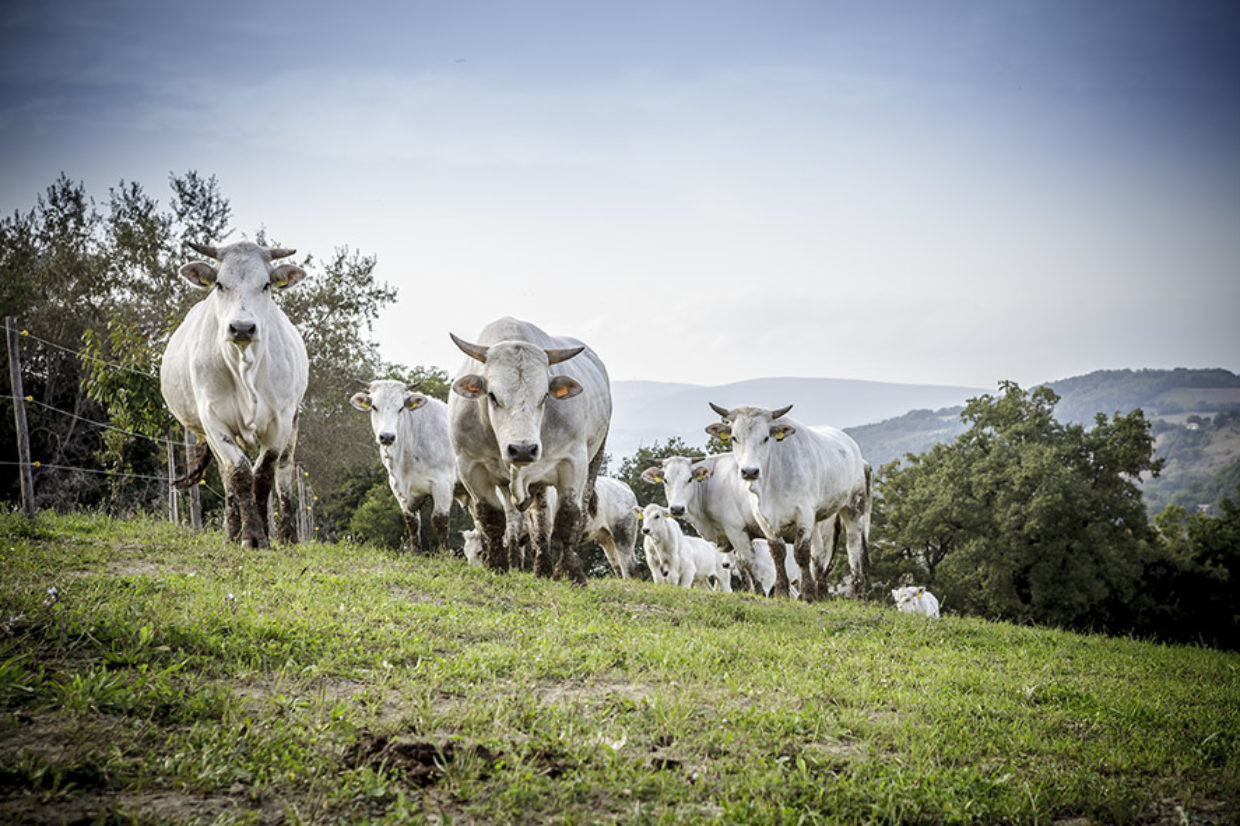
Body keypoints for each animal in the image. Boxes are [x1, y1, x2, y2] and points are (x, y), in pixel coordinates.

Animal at [349, 381, 461, 553]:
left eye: (401, 408)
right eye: (374, 406)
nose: (387, 436)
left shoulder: (442, 484)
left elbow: (440, 521)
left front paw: (445, 555)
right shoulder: (398, 488)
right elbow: (412, 523)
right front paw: (415, 553)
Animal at [709, 399, 872, 597]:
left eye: (766, 438)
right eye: (734, 438)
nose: (750, 471)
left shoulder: (804, 513)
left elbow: (801, 552)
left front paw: (807, 595)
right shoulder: (763, 518)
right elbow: (778, 552)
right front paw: (781, 592)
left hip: (854, 506)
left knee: (853, 547)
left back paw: (855, 593)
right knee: (819, 555)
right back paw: (822, 593)